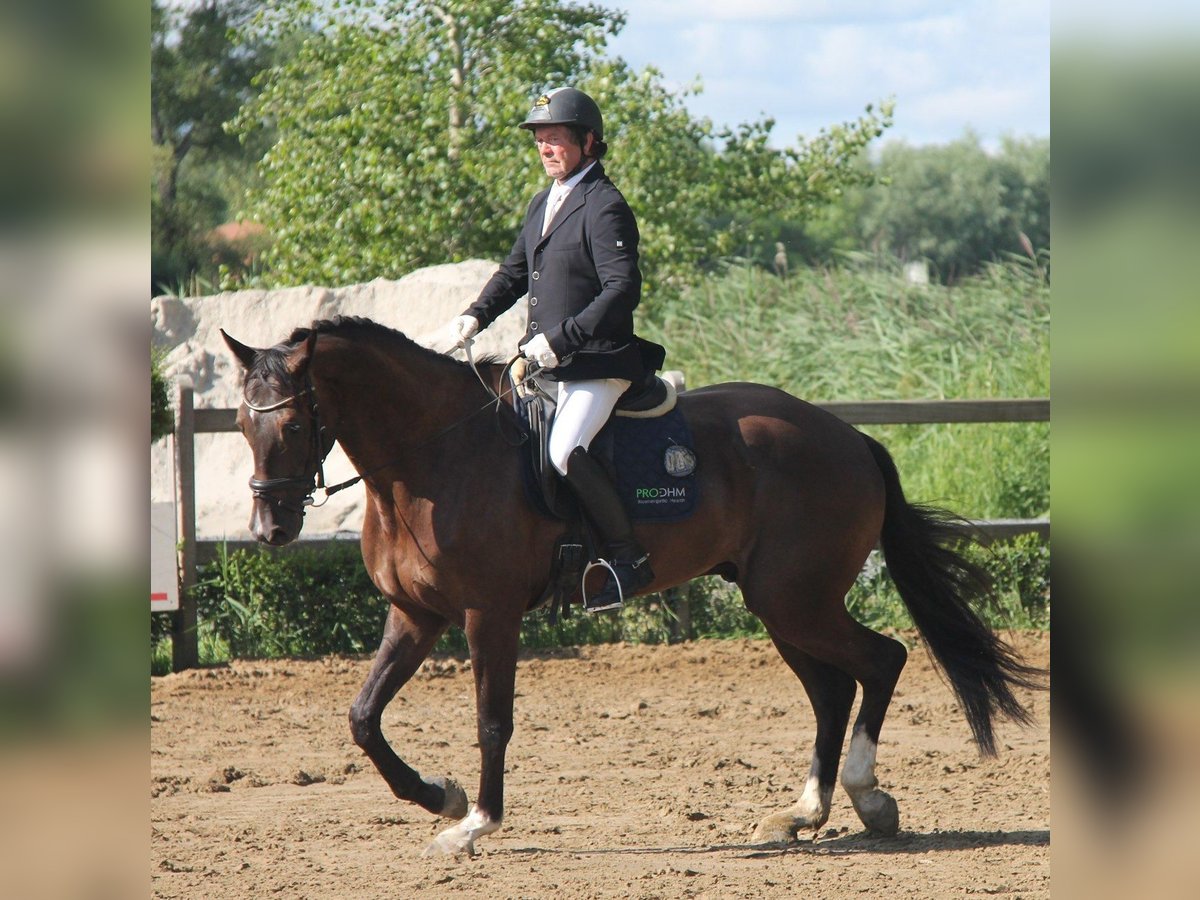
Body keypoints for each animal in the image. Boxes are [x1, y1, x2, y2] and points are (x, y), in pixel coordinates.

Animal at [220, 316, 1046, 859]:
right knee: (833, 688)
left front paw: (475, 823)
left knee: (880, 662)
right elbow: (363, 717)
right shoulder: (416, 614)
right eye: (240, 423)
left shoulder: (489, 614)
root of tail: (849, 436)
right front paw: (440, 796)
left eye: (291, 424)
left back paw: (866, 794)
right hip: (780, 605)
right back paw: (802, 813)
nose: (269, 529)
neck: (431, 459)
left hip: (796, 599)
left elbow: (492, 721)